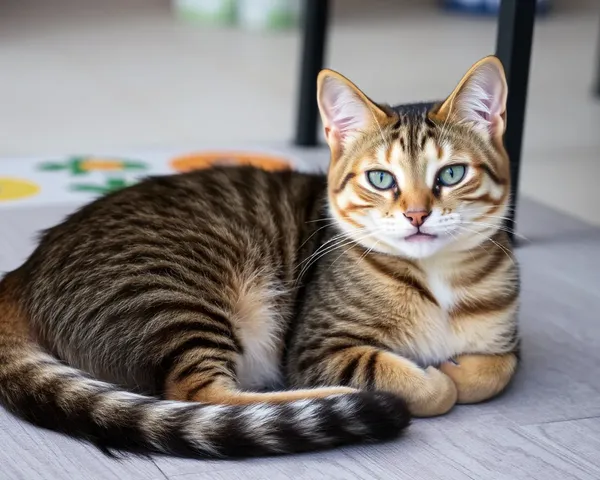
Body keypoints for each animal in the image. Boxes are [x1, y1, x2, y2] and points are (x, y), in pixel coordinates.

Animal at [0, 55, 516, 458]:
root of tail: (23, 272)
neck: (436, 277)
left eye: (451, 174)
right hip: (180, 296)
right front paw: (436, 379)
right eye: (381, 179)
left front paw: (460, 368)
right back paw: (337, 397)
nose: (416, 214)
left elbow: (500, 369)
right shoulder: (316, 346)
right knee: (201, 393)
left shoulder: (507, 339)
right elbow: (412, 379)